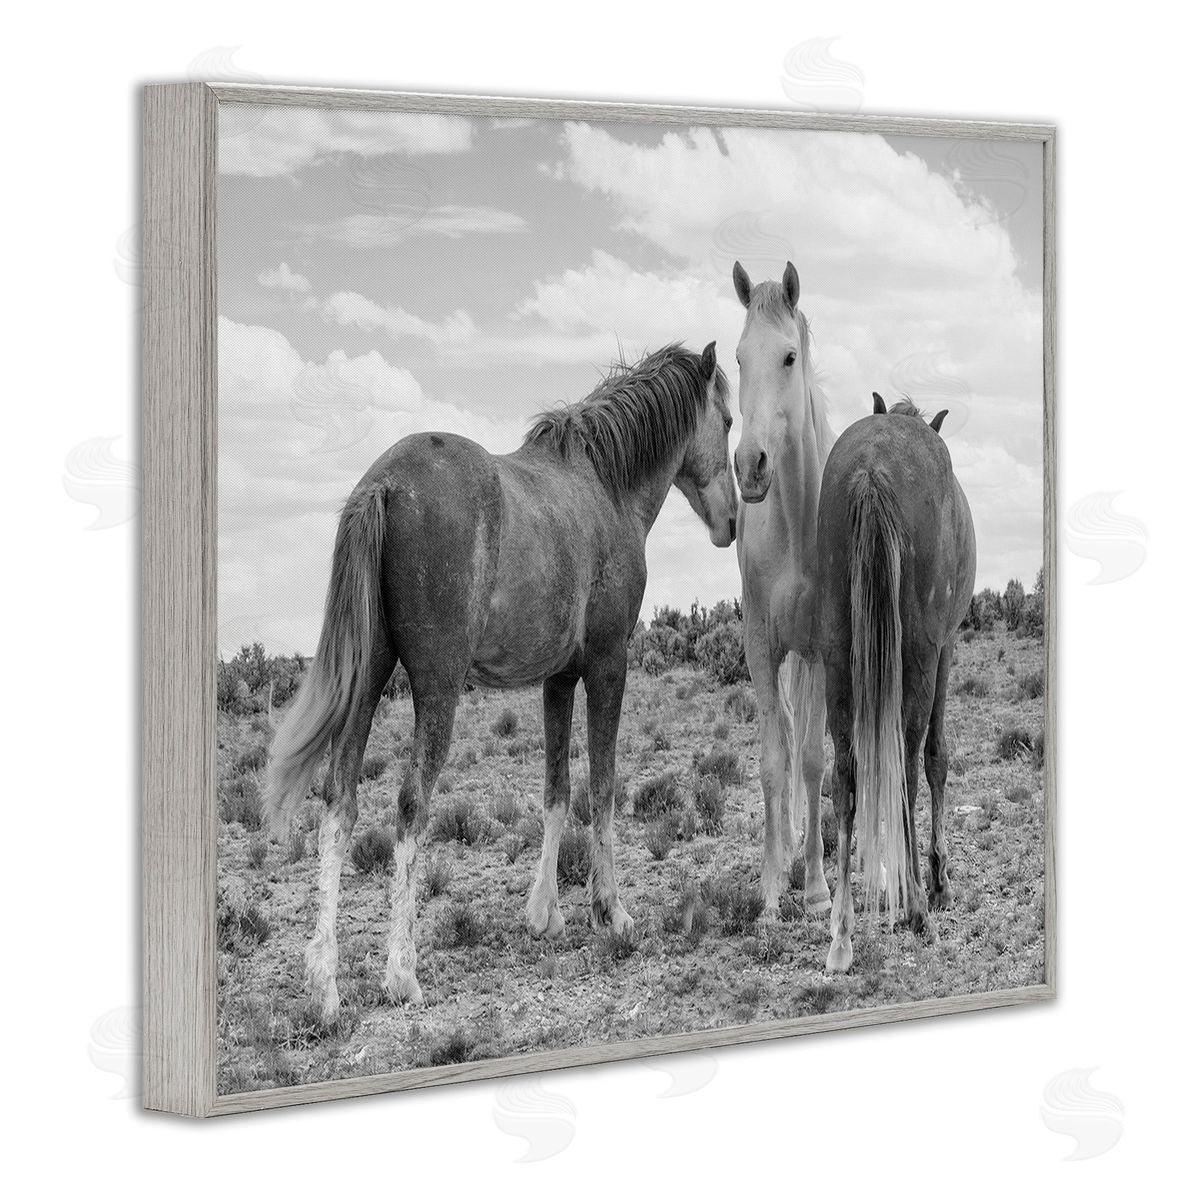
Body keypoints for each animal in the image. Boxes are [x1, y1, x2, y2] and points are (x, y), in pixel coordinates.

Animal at [263, 341, 737, 1020]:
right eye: (727, 420)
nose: (731, 522)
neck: (605, 488)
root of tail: (381, 485)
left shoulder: (557, 680)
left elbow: (556, 791)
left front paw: (544, 914)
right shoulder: (608, 666)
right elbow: (603, 788)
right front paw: (611, 912)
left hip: (369, 678)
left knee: (340, 802)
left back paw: (326, 984)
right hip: (436, 688)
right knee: (410, 805)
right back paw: (401, 973)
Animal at [816, 400, 976, 972]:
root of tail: (872, 468)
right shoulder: (945, 648)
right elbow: (936, 758)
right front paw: (939, 881)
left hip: (837, 655)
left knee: (845, 777)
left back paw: (842, 932)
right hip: (922, 655)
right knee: (907, 764)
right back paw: (918, 910)